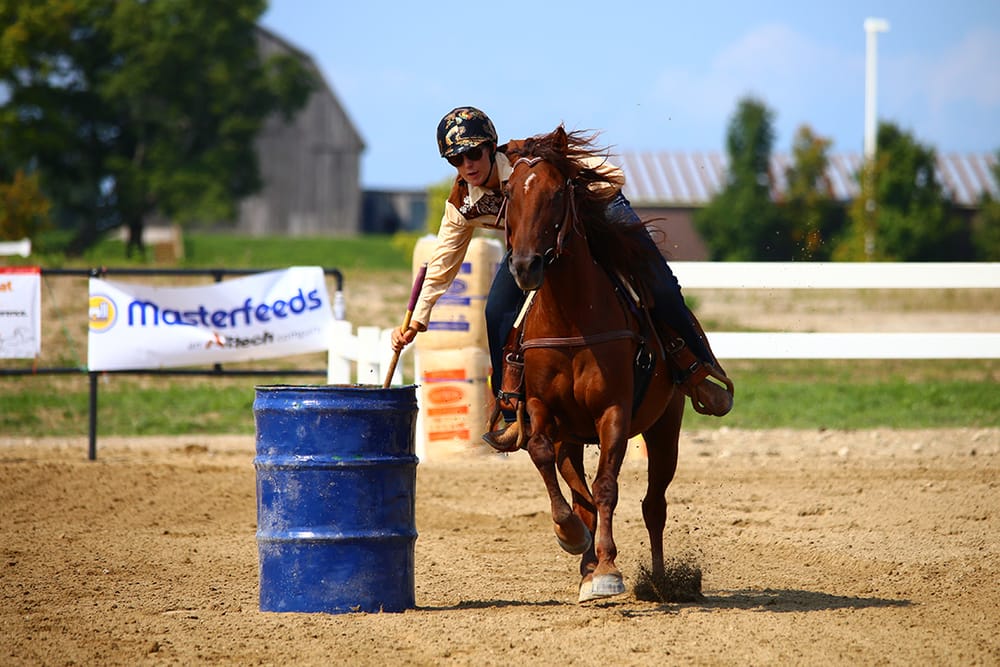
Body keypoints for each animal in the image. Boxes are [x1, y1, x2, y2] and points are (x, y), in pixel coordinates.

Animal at [499, 125, 686, 602]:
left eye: (554, 192)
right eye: (509, 192)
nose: (525, 266)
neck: (571, 321)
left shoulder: (613, 411)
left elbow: (606, 488)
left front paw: (607, 569)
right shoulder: (542, 411)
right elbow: (543, 456)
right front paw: (571, 537)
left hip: (665, 426)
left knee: (653, 504)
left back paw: (659, 581)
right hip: (572, 437)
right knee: (579, 491)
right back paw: (583, 554)